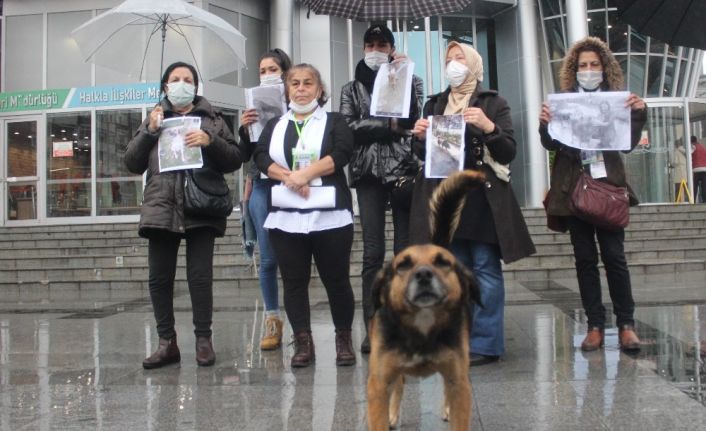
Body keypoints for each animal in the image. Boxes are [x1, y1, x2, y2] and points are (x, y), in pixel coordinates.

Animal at [367, 170, 485, 431]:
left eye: (443, 262)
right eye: (403, 265)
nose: (423, 275)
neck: (422, 324)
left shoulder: (459, 381)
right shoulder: (378, 384)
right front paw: (389, 416)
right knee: (399, 384)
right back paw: (393, 414)